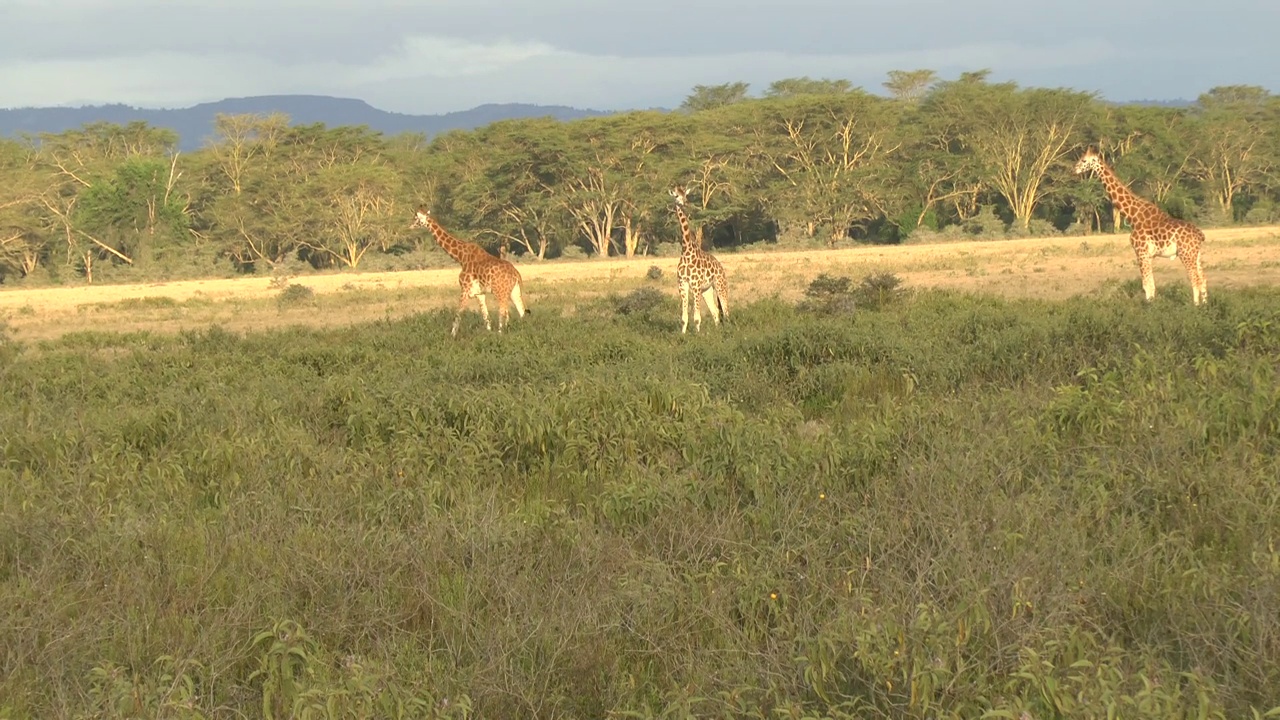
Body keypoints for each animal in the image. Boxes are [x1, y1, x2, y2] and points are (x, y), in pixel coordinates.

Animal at [412, 207, 527, 335]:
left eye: (416, 218)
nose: (411, 226)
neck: (460, 257)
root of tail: (516, 274)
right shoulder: (479, 293)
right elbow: (485, 316)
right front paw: (488, 334)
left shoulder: (465, 289)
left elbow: (457, 315)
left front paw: (452, 336)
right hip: (514, 290)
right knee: (521, 311)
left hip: (500, 291)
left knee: (504, 312)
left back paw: (501, 333)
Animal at [670, 183, 732, 333]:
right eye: (676, 195)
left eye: (685, 194)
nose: (685, 203)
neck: (686, 251)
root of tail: (720, 266)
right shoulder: (682, 284)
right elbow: (684, 318)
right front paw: (683, 335)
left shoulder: (695, 285)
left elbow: (697, 318)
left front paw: (698, 336)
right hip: (707, 290)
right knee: (716, 311)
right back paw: (717, 332)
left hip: (720, 285)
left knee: (726, 310)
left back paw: (727, 331)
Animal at [1075, 146, 1203, 302]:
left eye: (1084, 160)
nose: (1074, 169)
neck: (1133, 215)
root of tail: (1201, 235)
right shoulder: (1148, 255)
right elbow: (1151, 285)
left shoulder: (1140, 252)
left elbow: (1146, 285)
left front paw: (1149, 305)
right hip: (1197, 254)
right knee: (1203, 280)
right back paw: (1204, 304)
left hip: (1186, 254)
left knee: (1195, 279)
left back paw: (1195, 306)